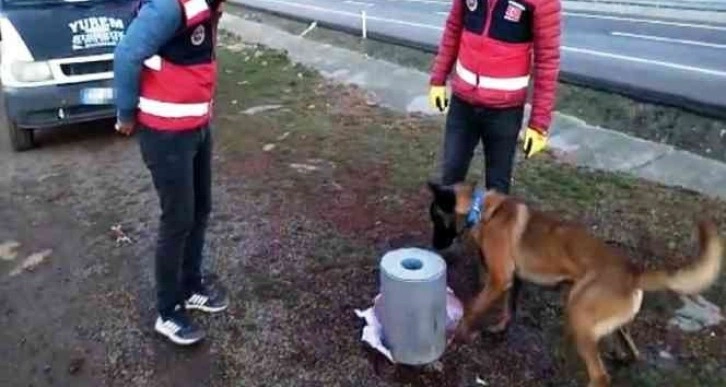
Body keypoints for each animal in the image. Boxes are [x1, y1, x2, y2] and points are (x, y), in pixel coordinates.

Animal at [430, 182, 724, 387]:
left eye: (436, 216)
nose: (434, 247)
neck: (482, 208)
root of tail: (633, 271)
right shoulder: (514, 280)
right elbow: (509, 309)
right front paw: (500, 328)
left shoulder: (499, 278)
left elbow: (473, 309)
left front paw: (459, 334)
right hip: (604, 320)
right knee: (633, 351)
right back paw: (623, 356)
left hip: (578, 314)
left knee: (600, 376)